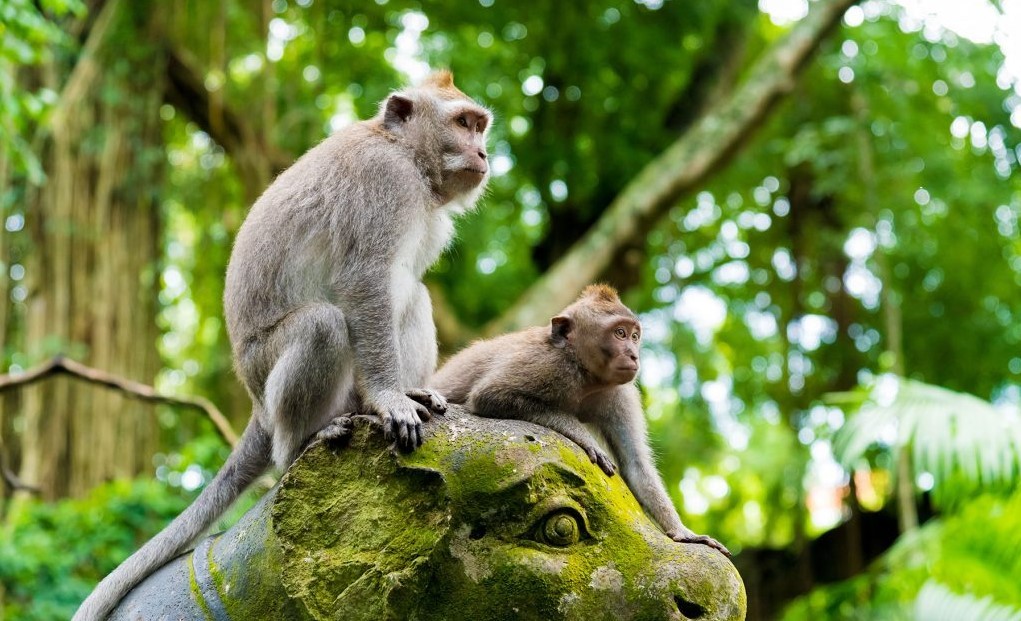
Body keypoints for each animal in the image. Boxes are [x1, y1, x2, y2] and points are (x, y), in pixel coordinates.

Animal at [74, 71, 491, 620]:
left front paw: (403, 394)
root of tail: (256, 404)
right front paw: (389, 399)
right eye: (463, 123)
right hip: (265, 369)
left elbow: (395, 290)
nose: (484, 153)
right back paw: (302, 442)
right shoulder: (383, 183)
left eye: (480, 126)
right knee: (323, 325)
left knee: (412, 296)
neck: (405, 154)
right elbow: (365, 282)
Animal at [430, 285, 729, 556]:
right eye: (620, 333)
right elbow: (490, 395)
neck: (585, 376)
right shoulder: (545, 363)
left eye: (635, 336)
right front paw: (587, 440)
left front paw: (683, 533)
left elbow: (635, 464)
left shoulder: (620, 394)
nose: (634, 355)